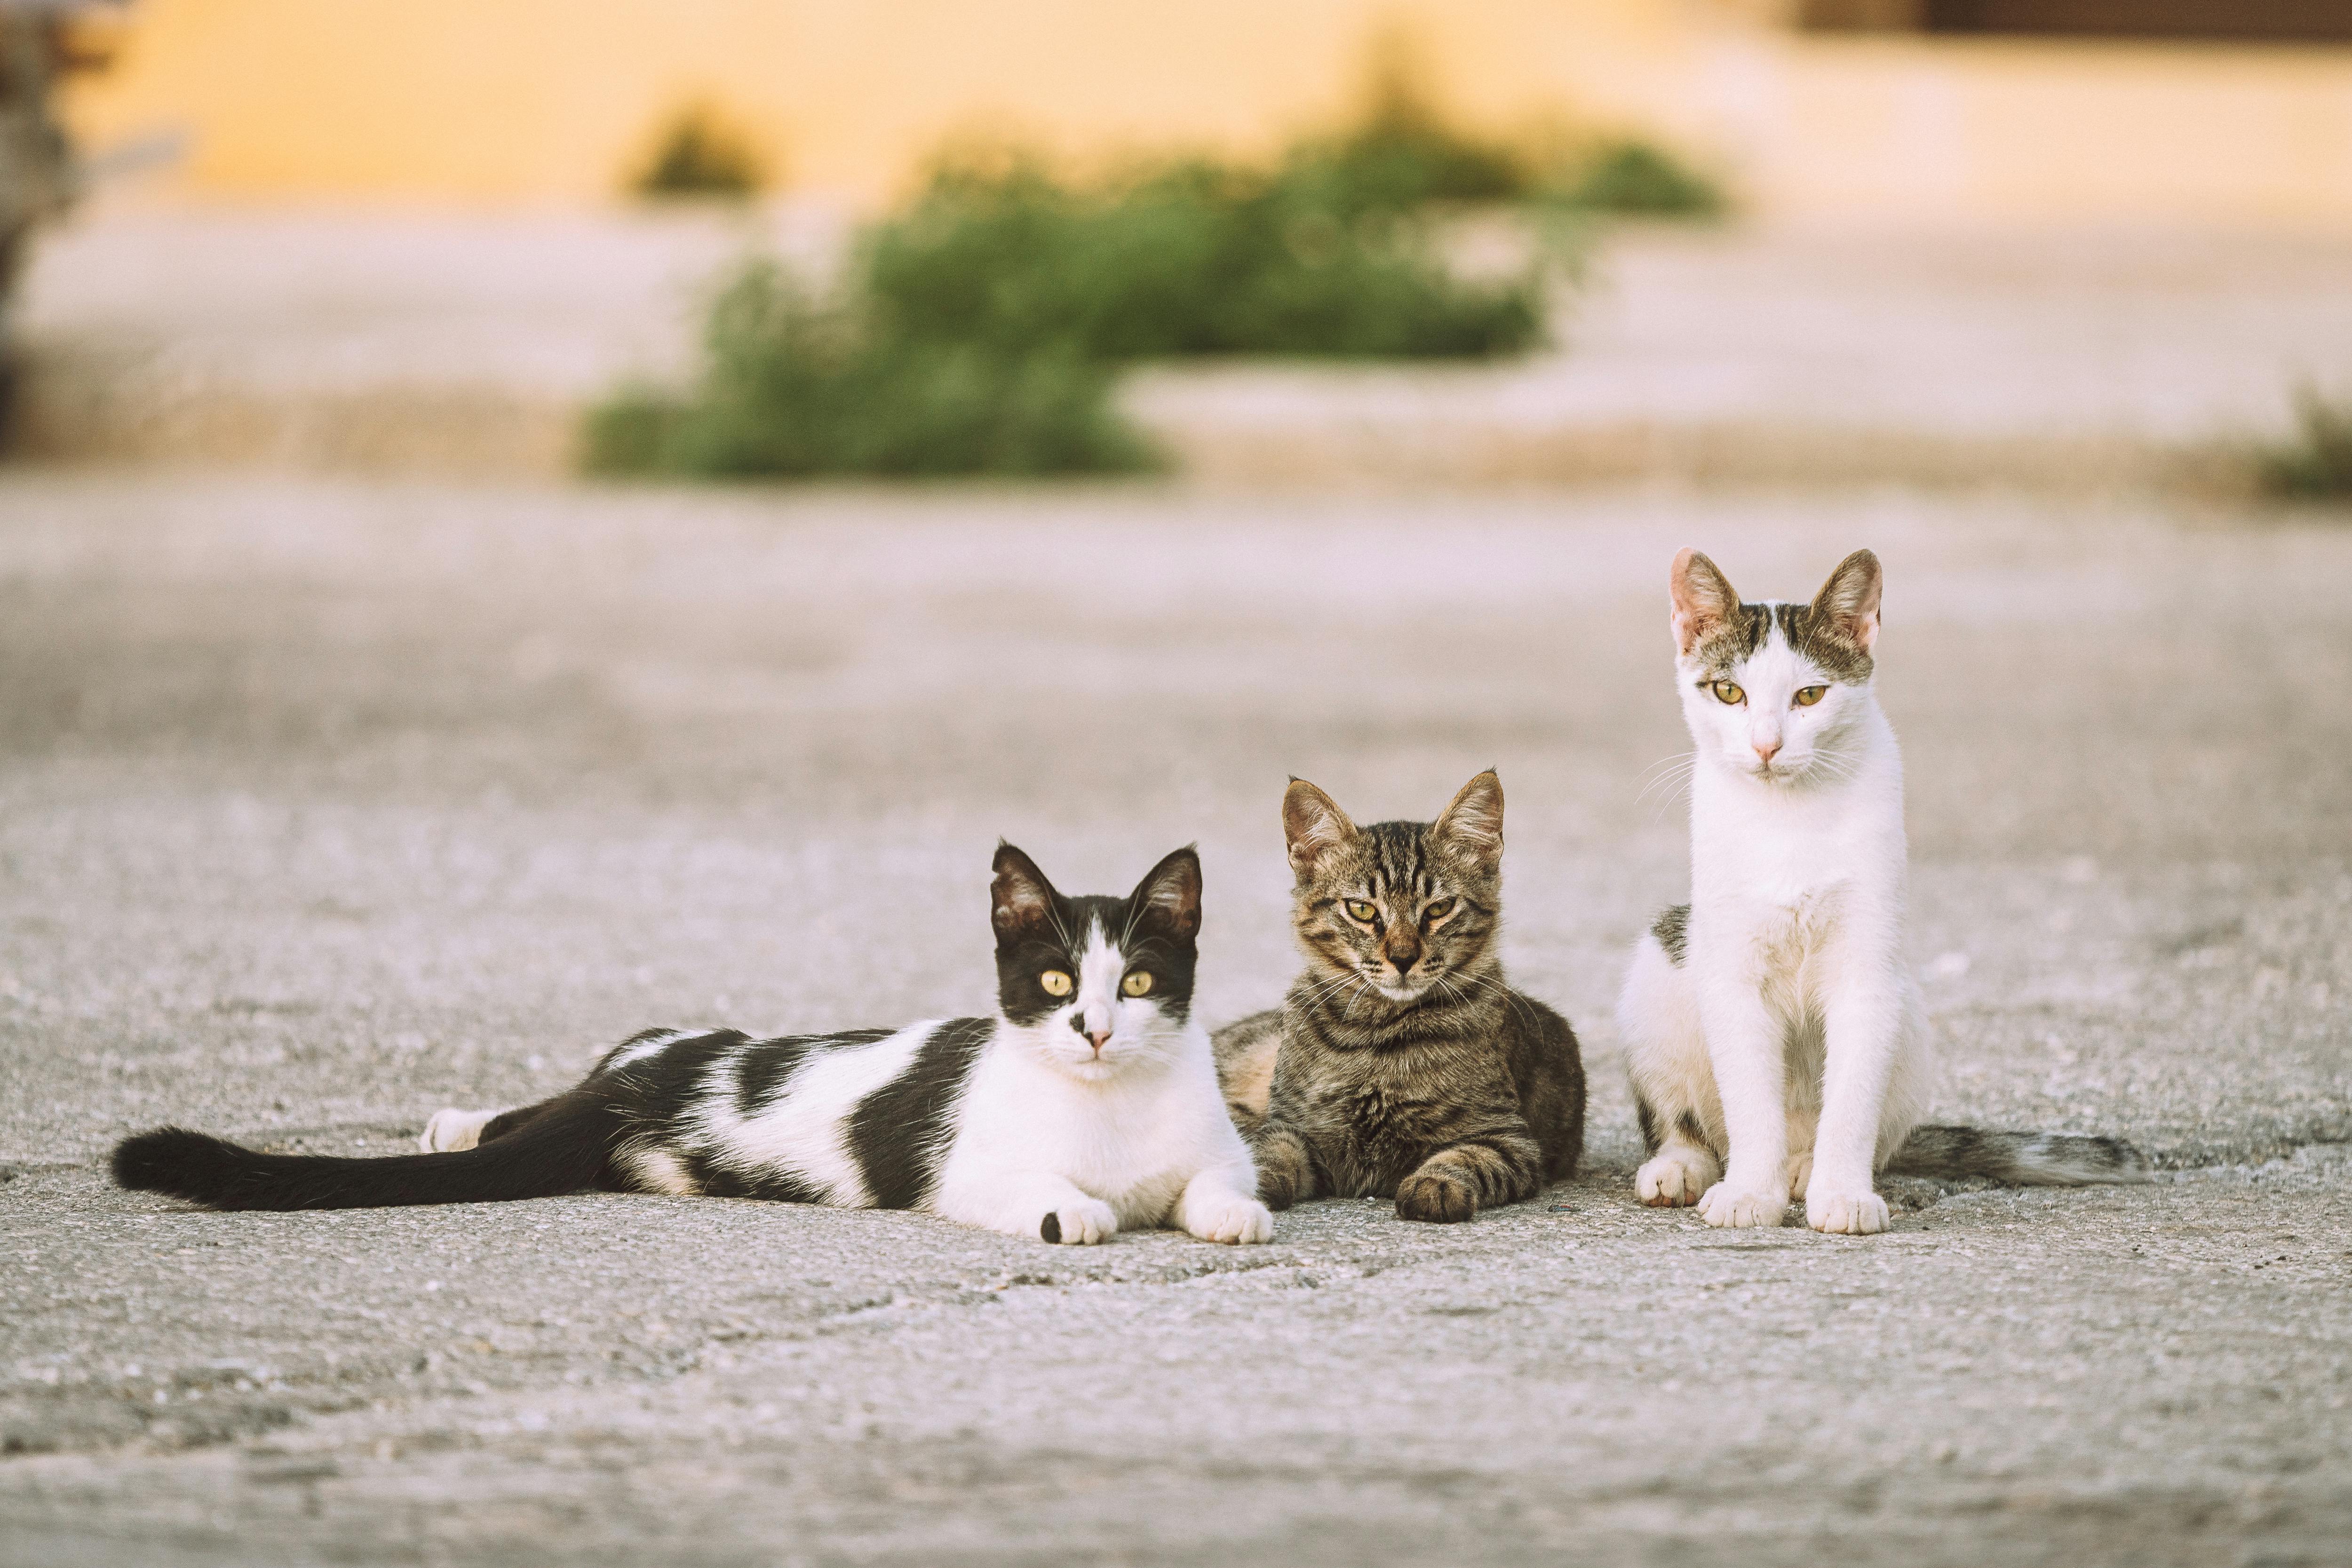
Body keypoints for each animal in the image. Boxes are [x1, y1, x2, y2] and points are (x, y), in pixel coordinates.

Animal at [117, 846, 1279, 1250]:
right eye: (1054, 984)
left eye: (1137, 983)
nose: (1094, 1029)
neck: (1111, 1108)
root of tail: (641, 1081)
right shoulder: (968, 1167)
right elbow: (1053, 1196)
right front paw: (1077, 1210)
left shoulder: (1217, 1145)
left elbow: (1223, 1183)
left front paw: (1231, 1217)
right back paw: (456, 1121)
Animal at [1618, 552, 2154, 1241]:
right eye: (1728, 692)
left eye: (1810, 695)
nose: (1766, 746)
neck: (1791, 819)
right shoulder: (1733, 969)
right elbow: (1749, 1099)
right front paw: (1749, 1192)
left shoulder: (1869, 968)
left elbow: (1852, 1098)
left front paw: (1843, 1194)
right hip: (1665, 962)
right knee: (1688, 1118)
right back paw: (1684, 1166)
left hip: (1910, 1012)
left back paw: (1805, 1169)